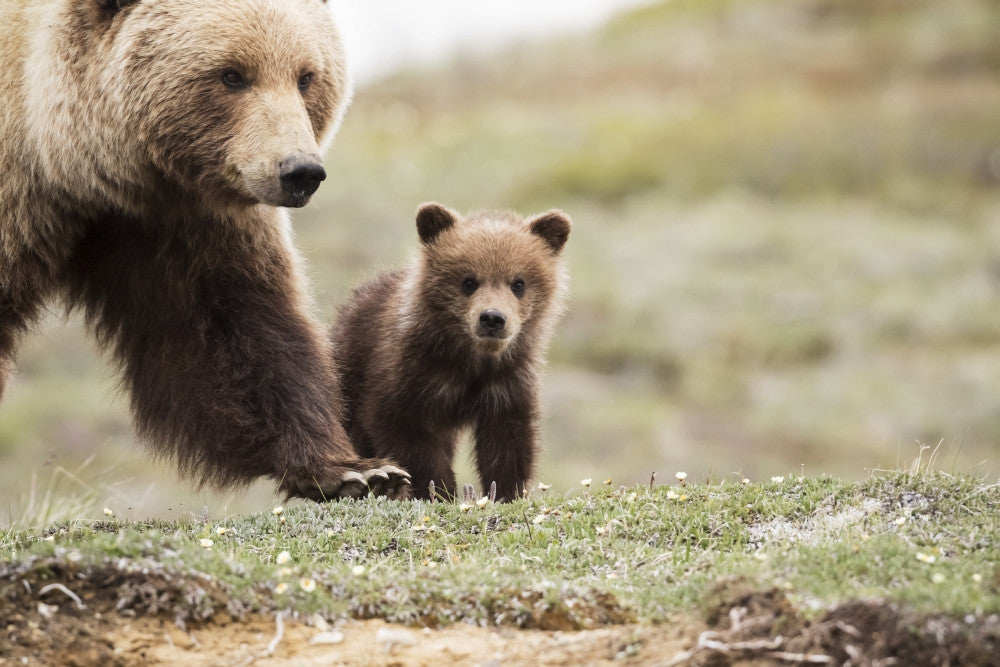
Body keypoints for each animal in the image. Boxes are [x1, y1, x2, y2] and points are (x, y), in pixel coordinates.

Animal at [0, 0, 410, 501]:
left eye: (306, 76)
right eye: (232, 74)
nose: (300, 172)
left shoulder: (180, 220)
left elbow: (229, 324)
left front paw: (354, 471)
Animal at [330, 202, 571, 502]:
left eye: (518, 283)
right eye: (468, 281)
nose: (492, 319)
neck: (468, 359)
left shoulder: (507, 382)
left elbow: (507, 442)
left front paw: (506, 492)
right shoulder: (408, 376)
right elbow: (406, 434)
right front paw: (439, 490)